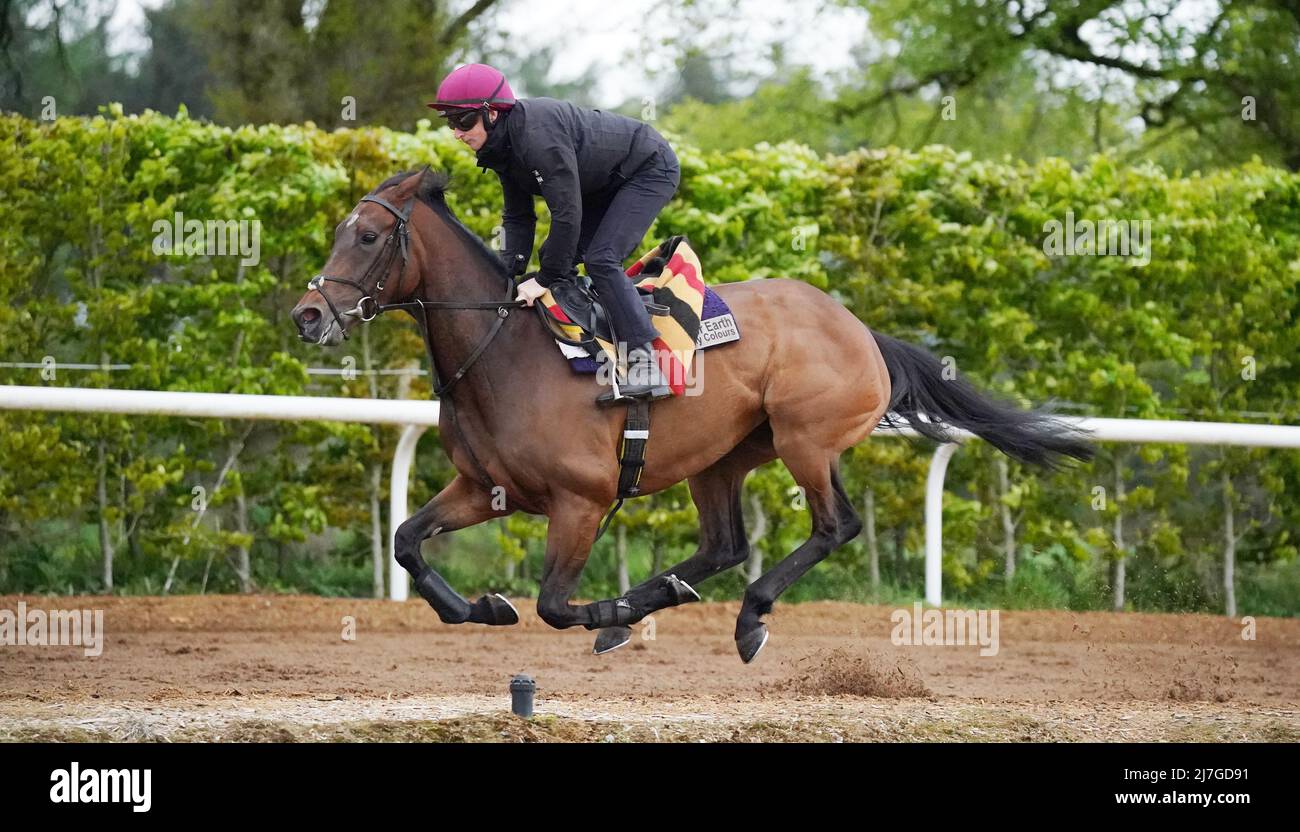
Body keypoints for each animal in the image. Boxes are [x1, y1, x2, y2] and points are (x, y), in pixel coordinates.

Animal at [289, 169, 1092, 663]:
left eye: (366, 237)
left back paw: (745, 616)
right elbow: (407, 541)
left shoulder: (581, 501)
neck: (504, 352)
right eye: (338, 231)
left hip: (805, 440)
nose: (307, 315)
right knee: (723, 546)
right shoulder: (488, 489)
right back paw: (667, 592)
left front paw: (602, 619)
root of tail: (862, 331)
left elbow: (554, 603)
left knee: (833, 526)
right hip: (723, 458)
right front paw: (487, 607)